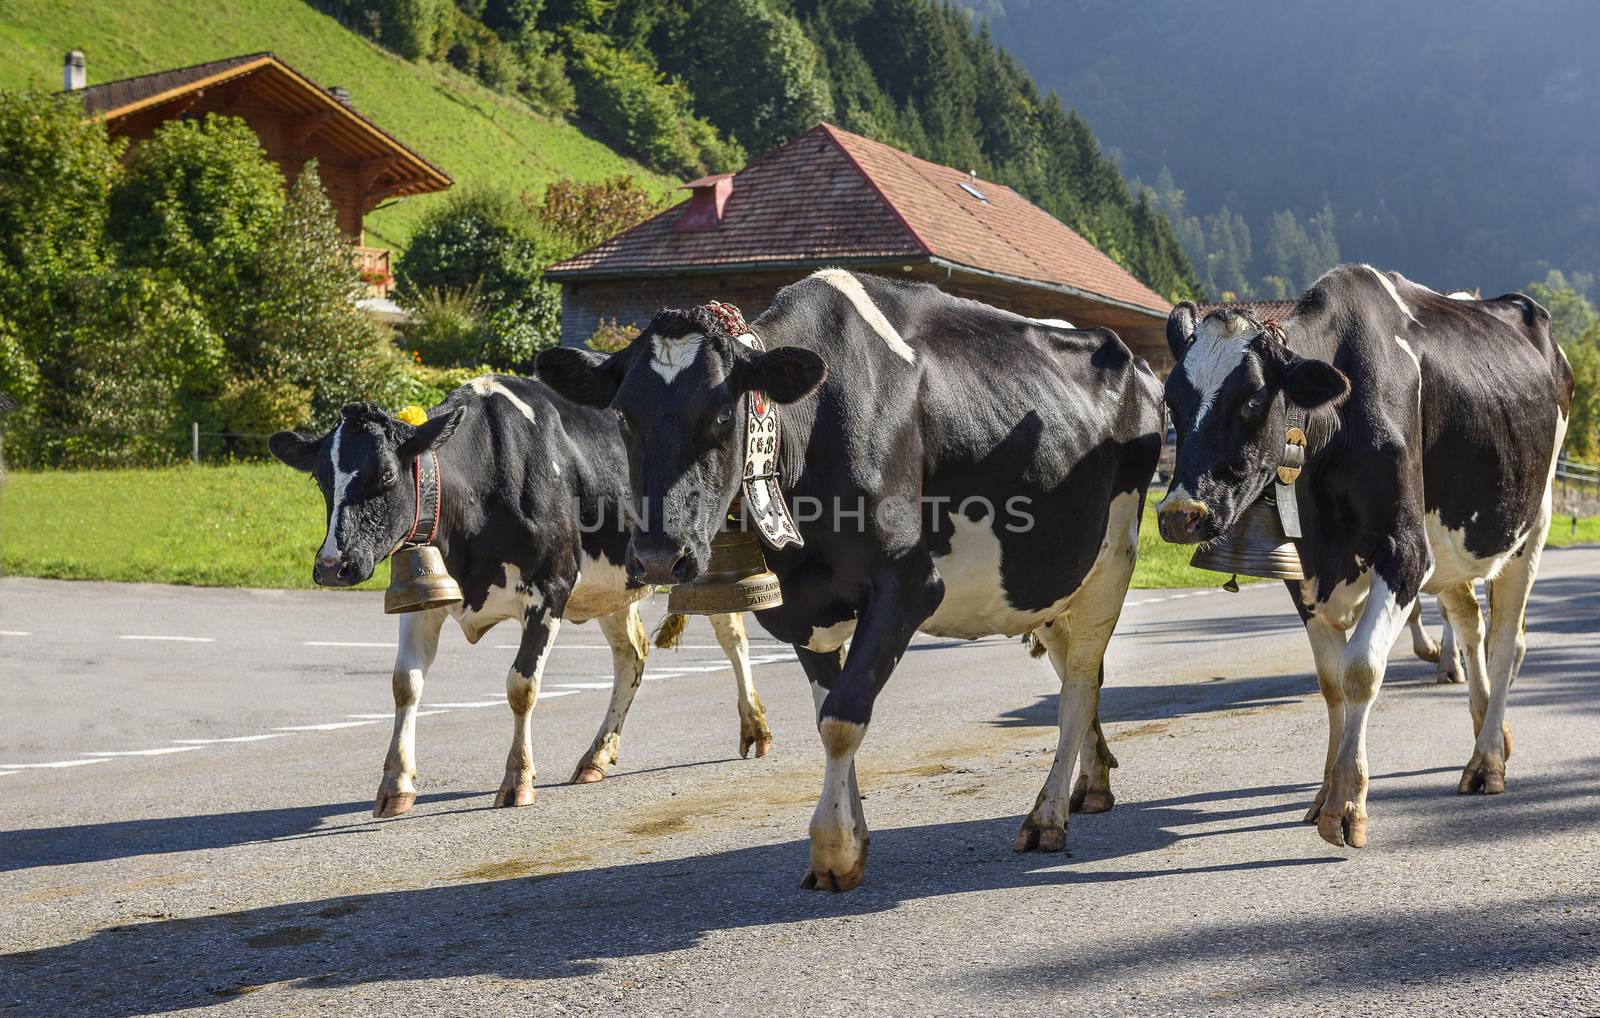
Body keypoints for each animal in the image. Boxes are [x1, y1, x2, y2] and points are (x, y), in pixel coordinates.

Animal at [272, 376, 771, 819]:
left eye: (387, 475)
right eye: (321, 480)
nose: (332, 565)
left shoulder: (551, 588)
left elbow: (521, 686)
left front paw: (518, 781)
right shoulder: (423, 595)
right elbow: (404, 683)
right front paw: (395, 785)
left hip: (705, 561)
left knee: (732, 636)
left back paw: (755, 728)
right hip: (617, 585)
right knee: (632, 654)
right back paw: (596, 756)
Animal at [540, 270, 1164, 889]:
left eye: (722, 412)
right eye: (624, 416)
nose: (658, 557)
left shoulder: (909, 584)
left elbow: (844, 716)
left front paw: (834, 850)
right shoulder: (798, 605)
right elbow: (827, 711)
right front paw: (854, 834)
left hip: (1114, 558)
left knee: (1079, 682)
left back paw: (1047, 816)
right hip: (1052, 582)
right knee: (1077, 672)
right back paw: (1093, 784)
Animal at [1158, 265, 1568, 845]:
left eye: (1253, 402)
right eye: (1172, 403)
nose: (1179, 514)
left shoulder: (1407, 553)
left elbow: (1360, 670)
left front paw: (1348, 803)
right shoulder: (1300, 568)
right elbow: (1331, 681)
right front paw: (1324, 792)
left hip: (1531, 525)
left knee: (1507, 642)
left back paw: (1487, 759)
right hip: (1455, 550)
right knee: (1470, 627)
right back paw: (1490, 728)